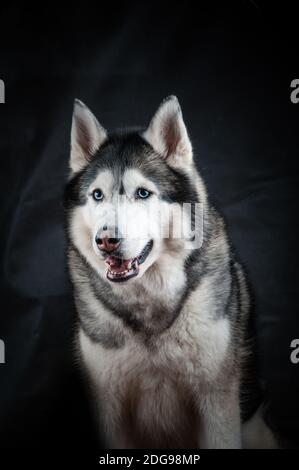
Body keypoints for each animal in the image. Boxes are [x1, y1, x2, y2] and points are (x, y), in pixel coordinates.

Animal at [64, 94, 274, 448]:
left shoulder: (216, 401)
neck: (150, 308)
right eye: (97, 195)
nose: (105, 241)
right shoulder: (108, 406)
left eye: (143, 193)